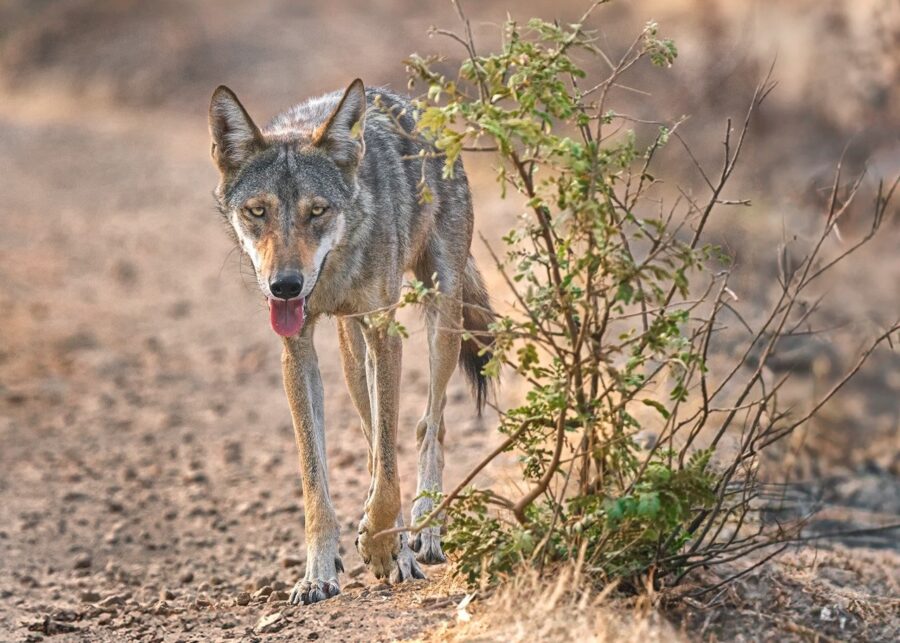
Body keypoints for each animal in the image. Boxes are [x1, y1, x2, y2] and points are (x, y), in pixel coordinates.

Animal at [208, 79, 496, 604]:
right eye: (257, 211)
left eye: (317, 211)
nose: (285, 286)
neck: (334, 273)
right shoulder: (297, 348)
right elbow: (317, 476)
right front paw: (319, 573)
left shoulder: (385, 333)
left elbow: (390, 463)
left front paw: (384, 547)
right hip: (350, 349)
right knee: (371, 437)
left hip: (440, 313)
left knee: (429, 425)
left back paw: (423, 532)